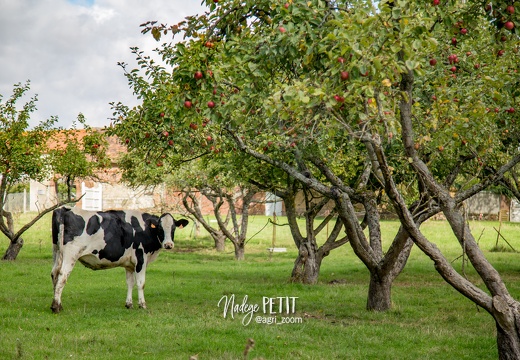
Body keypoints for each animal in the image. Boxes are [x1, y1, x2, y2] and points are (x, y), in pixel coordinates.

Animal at [50, 207, 189, 314]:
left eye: (173, 228)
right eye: (160, 228)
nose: (168, 245)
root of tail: (65, 209)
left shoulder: (129, 264)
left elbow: (130, 283)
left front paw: (129, 304)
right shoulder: (141, 259)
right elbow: (141, 283)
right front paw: (142, 305)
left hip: (56, 251)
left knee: (54, 274)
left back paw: (56, 304)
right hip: (70, 254)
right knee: (62, 276)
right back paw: (56, 307)